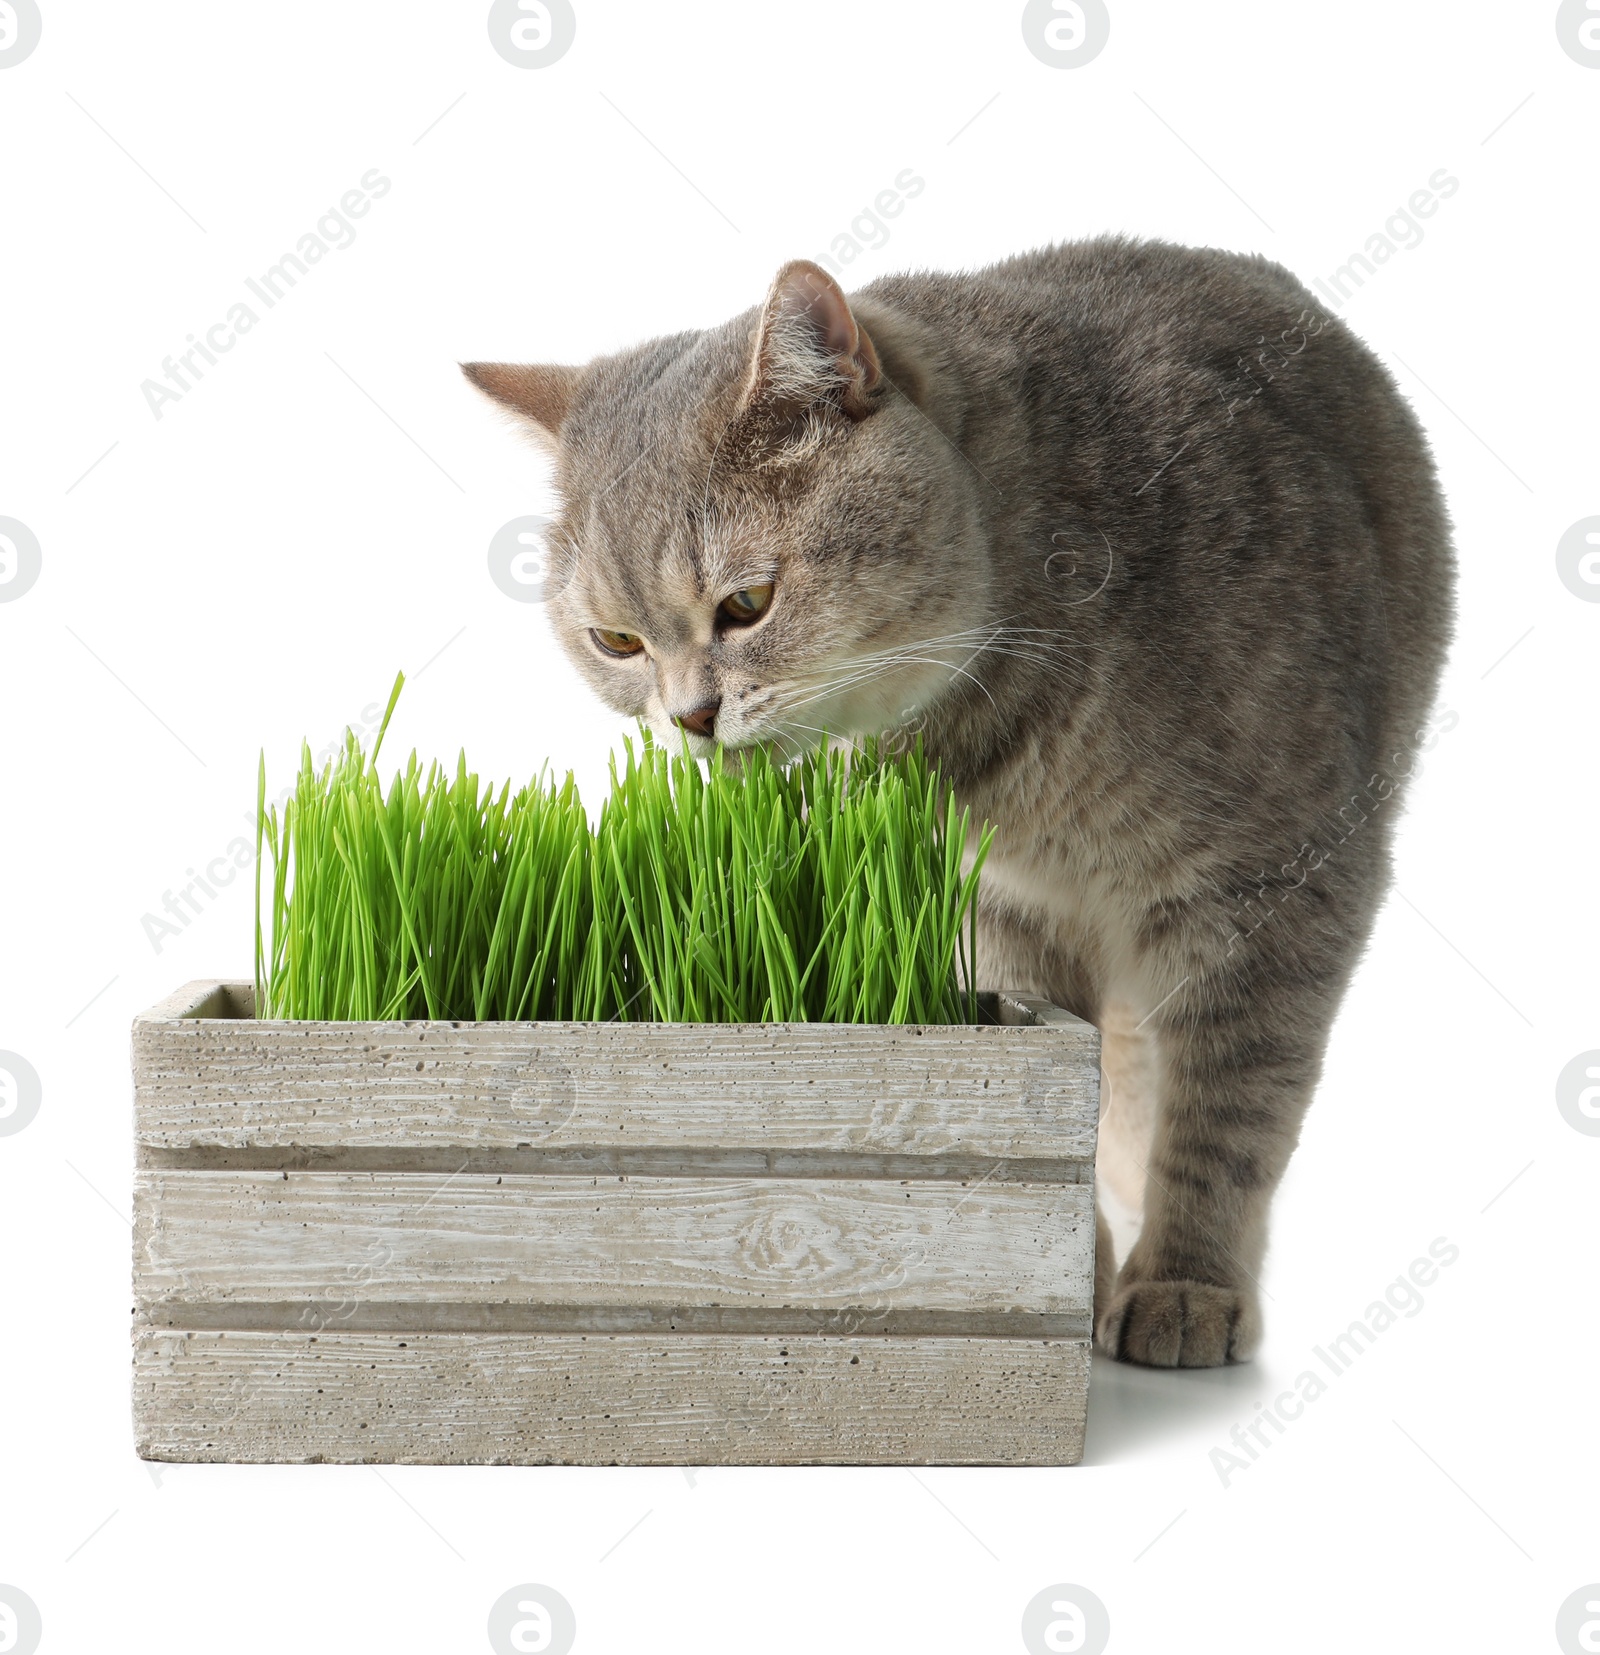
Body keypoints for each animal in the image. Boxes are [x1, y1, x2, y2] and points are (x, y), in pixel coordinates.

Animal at [466, 236, 1462, 1370]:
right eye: (617, 642)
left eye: (746, 604)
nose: (690, 717)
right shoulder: (1001, 908)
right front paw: (1071, 1272)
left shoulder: (1279, 881)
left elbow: (1228, 1109)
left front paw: (1184, 1281)